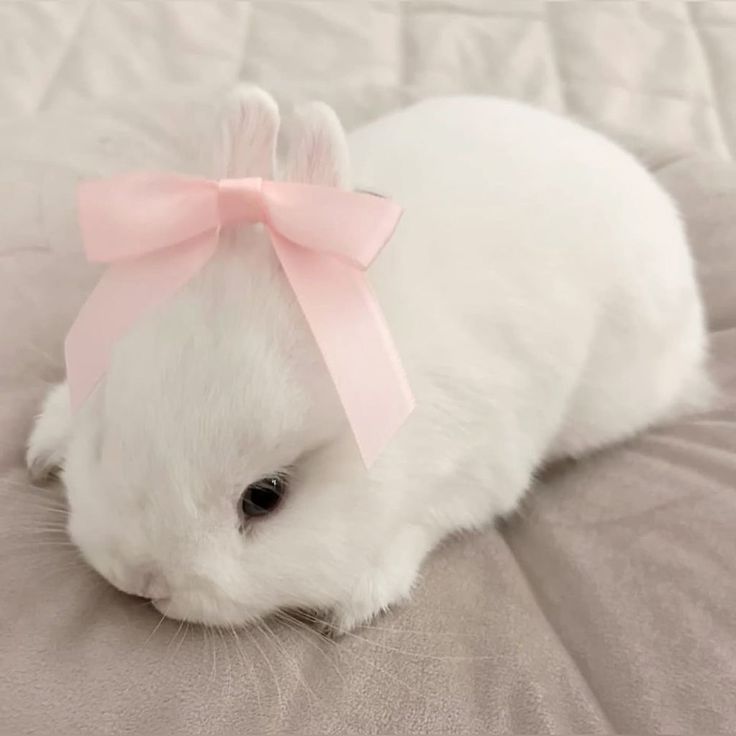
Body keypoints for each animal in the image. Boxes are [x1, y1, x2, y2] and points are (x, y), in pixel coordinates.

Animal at [26, 88, 711, 634]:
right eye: (107, 439)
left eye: (265, 498)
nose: (142, 580)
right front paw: (44, 448)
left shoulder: (481, 471)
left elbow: (425, 523)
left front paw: (354, 603)